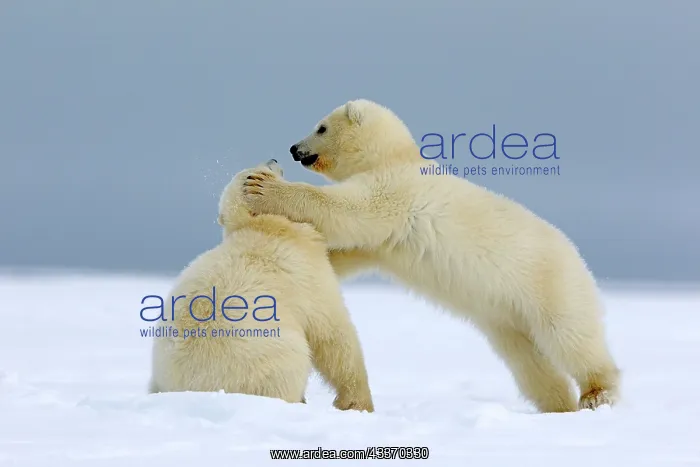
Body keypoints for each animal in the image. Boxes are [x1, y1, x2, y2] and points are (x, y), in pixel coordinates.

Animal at [148, 159, 374, 413]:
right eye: (255, 173)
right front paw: (359, 403)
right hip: (272, 358)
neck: (262, 227)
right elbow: (332, 333)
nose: (273, 160)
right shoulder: (305, 273)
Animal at [240, 100, 621, 413]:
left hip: (550, 285)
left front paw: (260, 187)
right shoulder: (383, 237)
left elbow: (344, 210)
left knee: (571, 337)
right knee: (530, 361)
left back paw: (597, 393)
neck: (396, 158)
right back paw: (558, 404)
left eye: (320, 127)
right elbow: (350, 247)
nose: (294, 148)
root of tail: (578, 258)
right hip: (508, 318)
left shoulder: (394, 191)